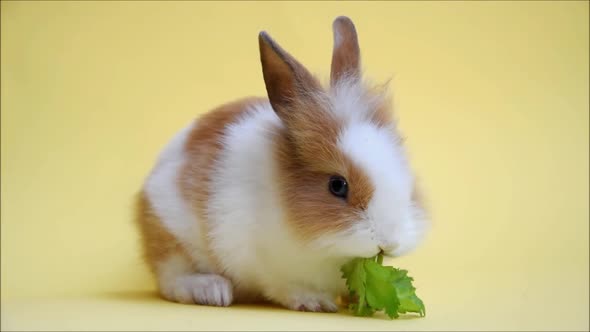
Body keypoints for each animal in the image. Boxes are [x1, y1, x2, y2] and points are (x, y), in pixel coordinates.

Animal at [135, 15, 430, 312]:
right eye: (337, 186)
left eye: (405, 173)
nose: (389, 242)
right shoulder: (259, 259)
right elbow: (282, 287)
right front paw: (314, 301)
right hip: (170, 232)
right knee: (171, 278)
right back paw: (211, 290)